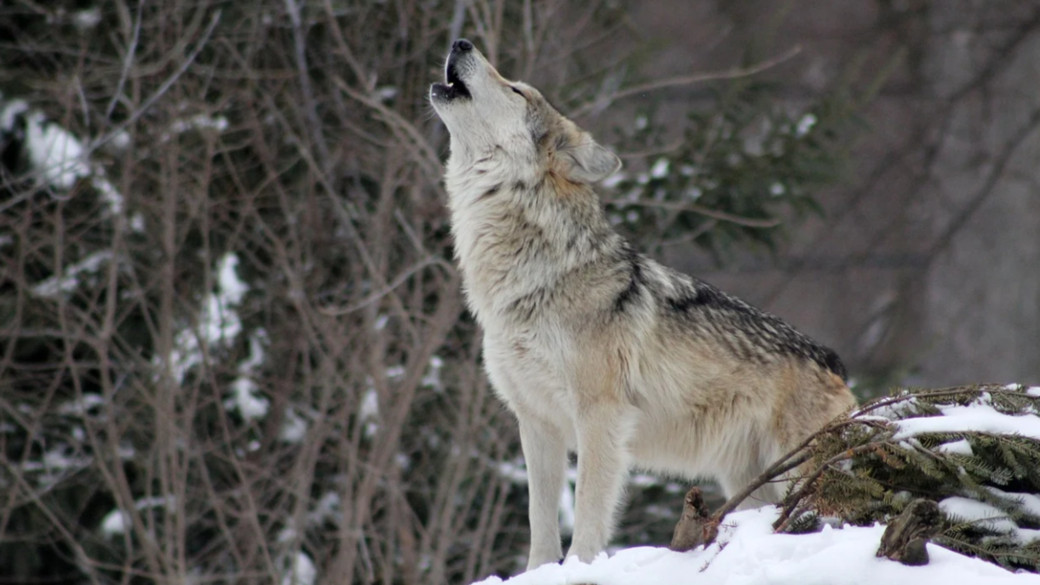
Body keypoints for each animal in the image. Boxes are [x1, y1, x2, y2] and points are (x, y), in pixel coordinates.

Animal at [428, 38, 852, 566]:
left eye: (516, 90)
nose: (460, 42)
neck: (532, 279)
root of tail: (834, 361)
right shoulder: (537, 423)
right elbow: (540, 522)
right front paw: (541, 571)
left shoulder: (600, 417)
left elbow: (588, 512)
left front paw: (580, 568)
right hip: (750, 483)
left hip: (795, 470)